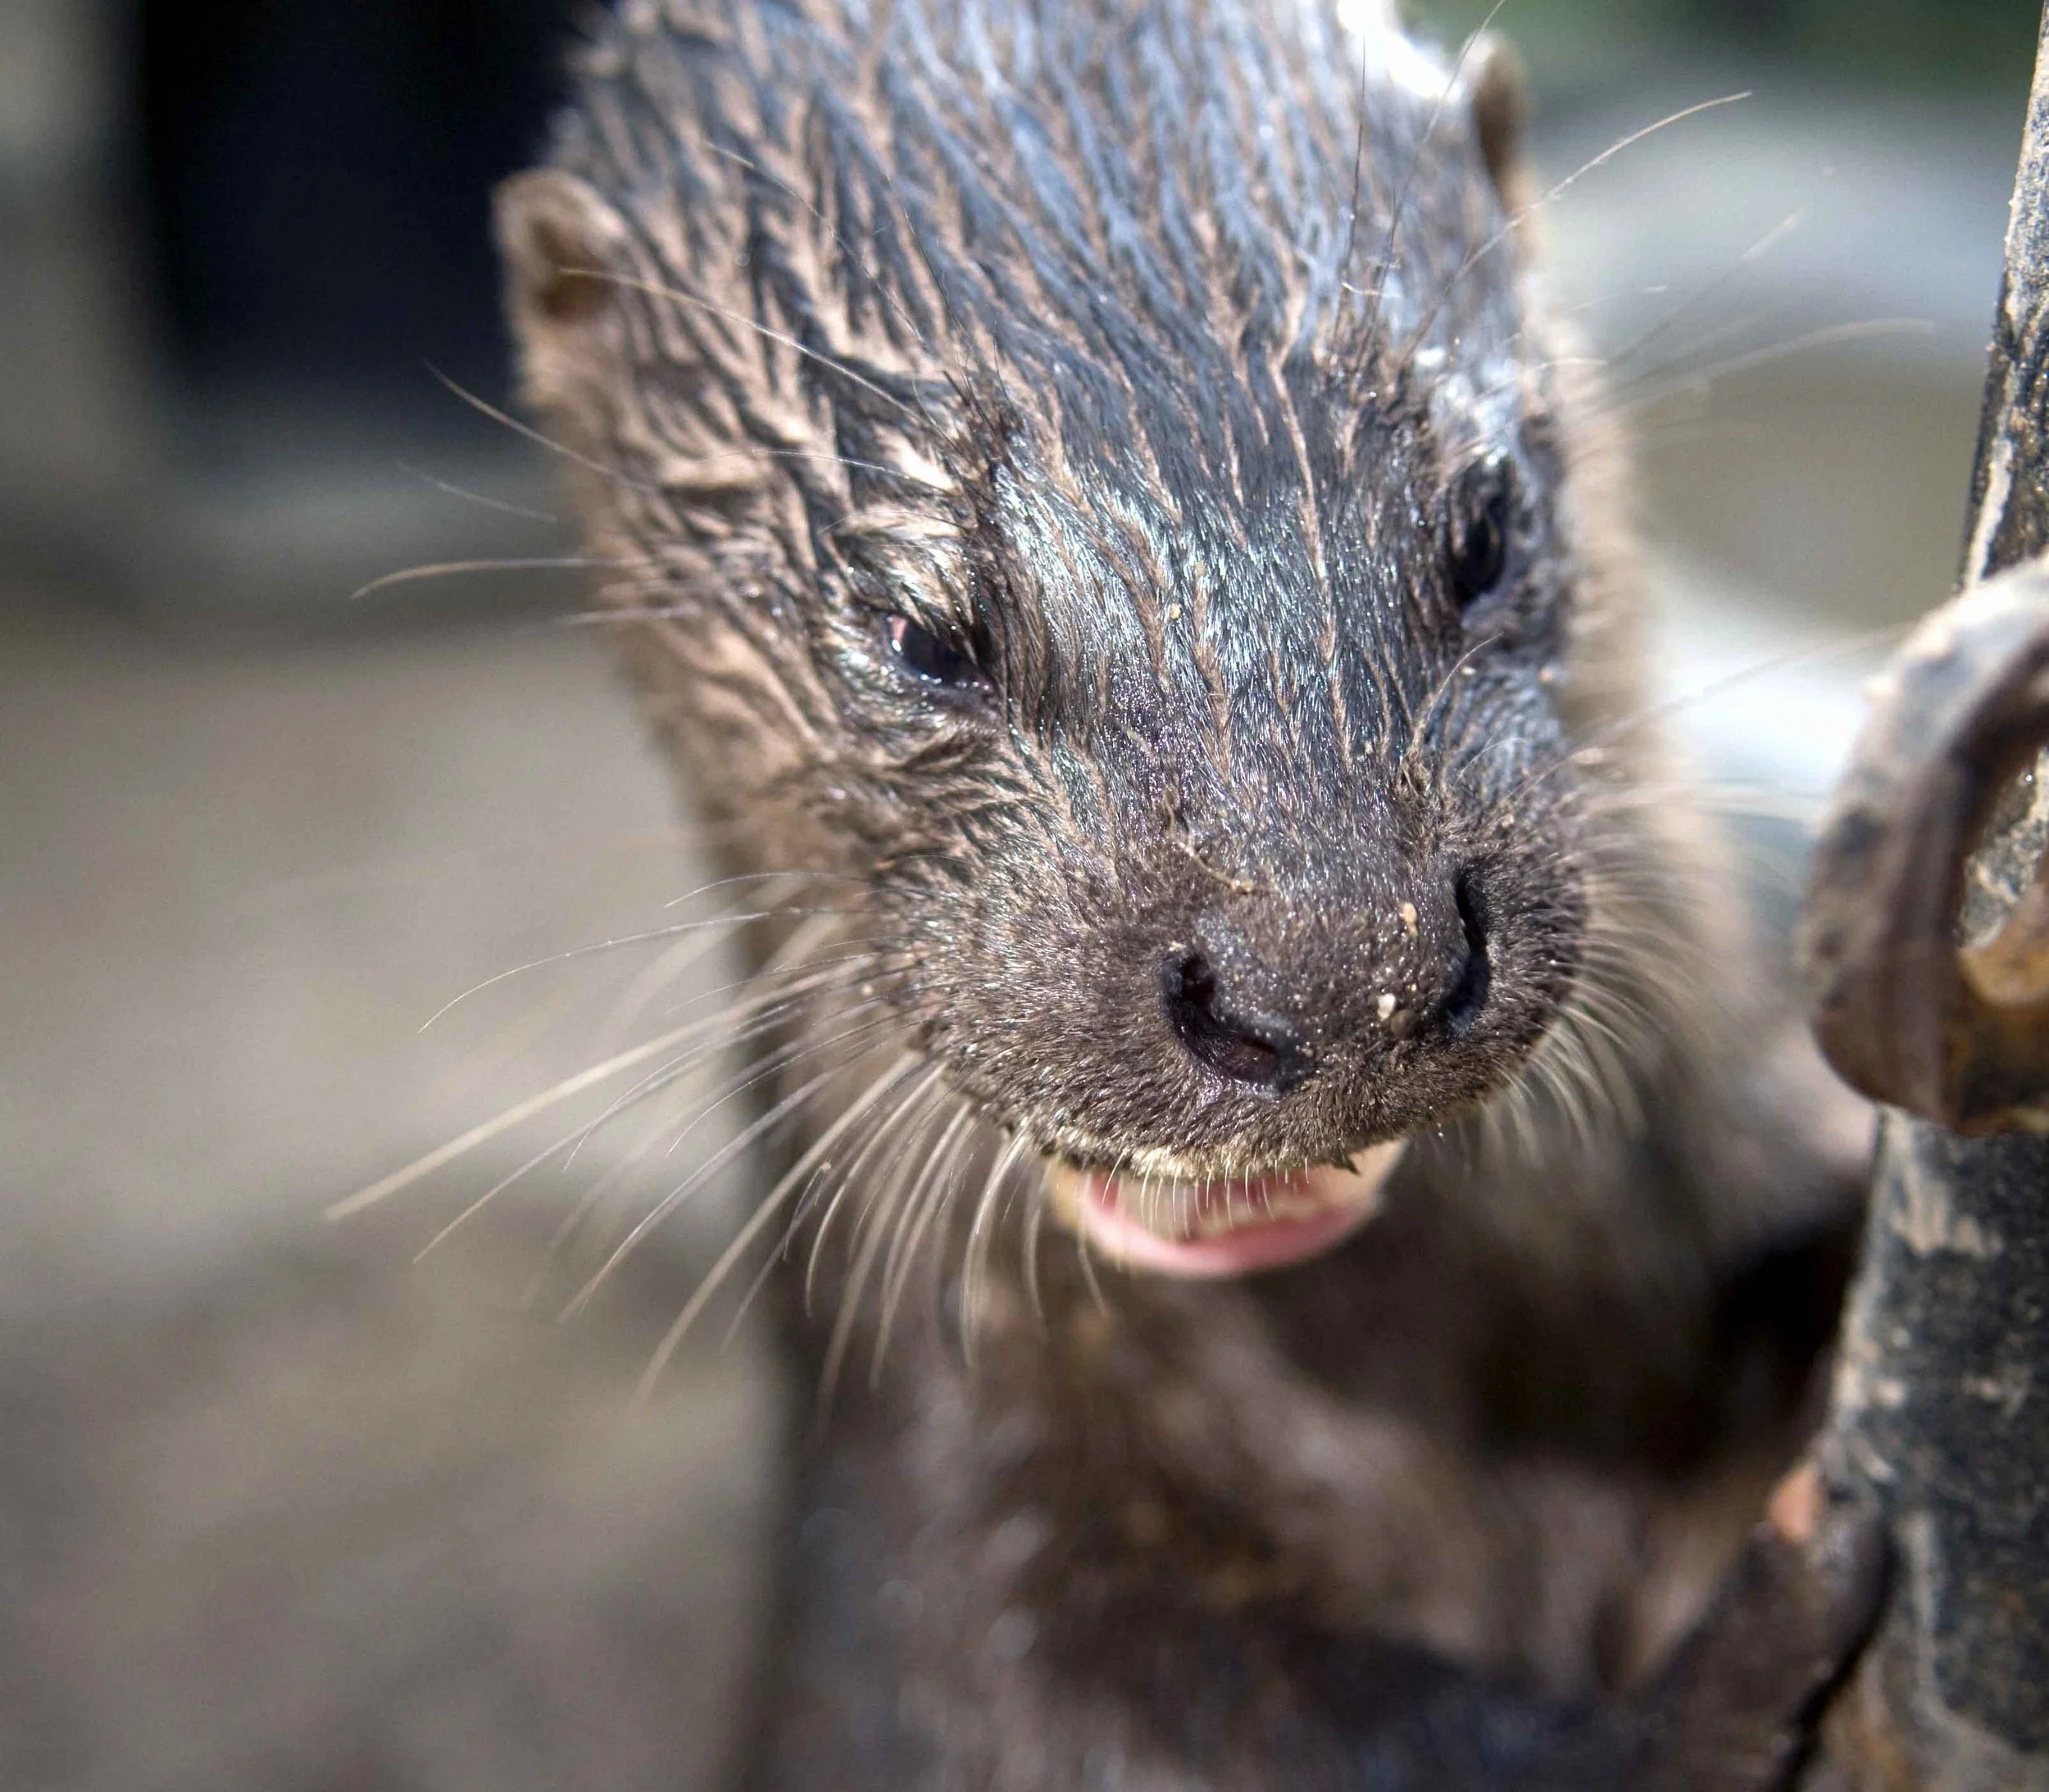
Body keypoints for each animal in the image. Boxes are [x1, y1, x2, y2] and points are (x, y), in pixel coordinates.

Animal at [489, 1, 1882, 1784]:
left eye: (1486, 522)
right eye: (920, 627)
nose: (1335, 968)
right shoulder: (943, 1524)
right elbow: (1110, 1700)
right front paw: (1730, 1659)